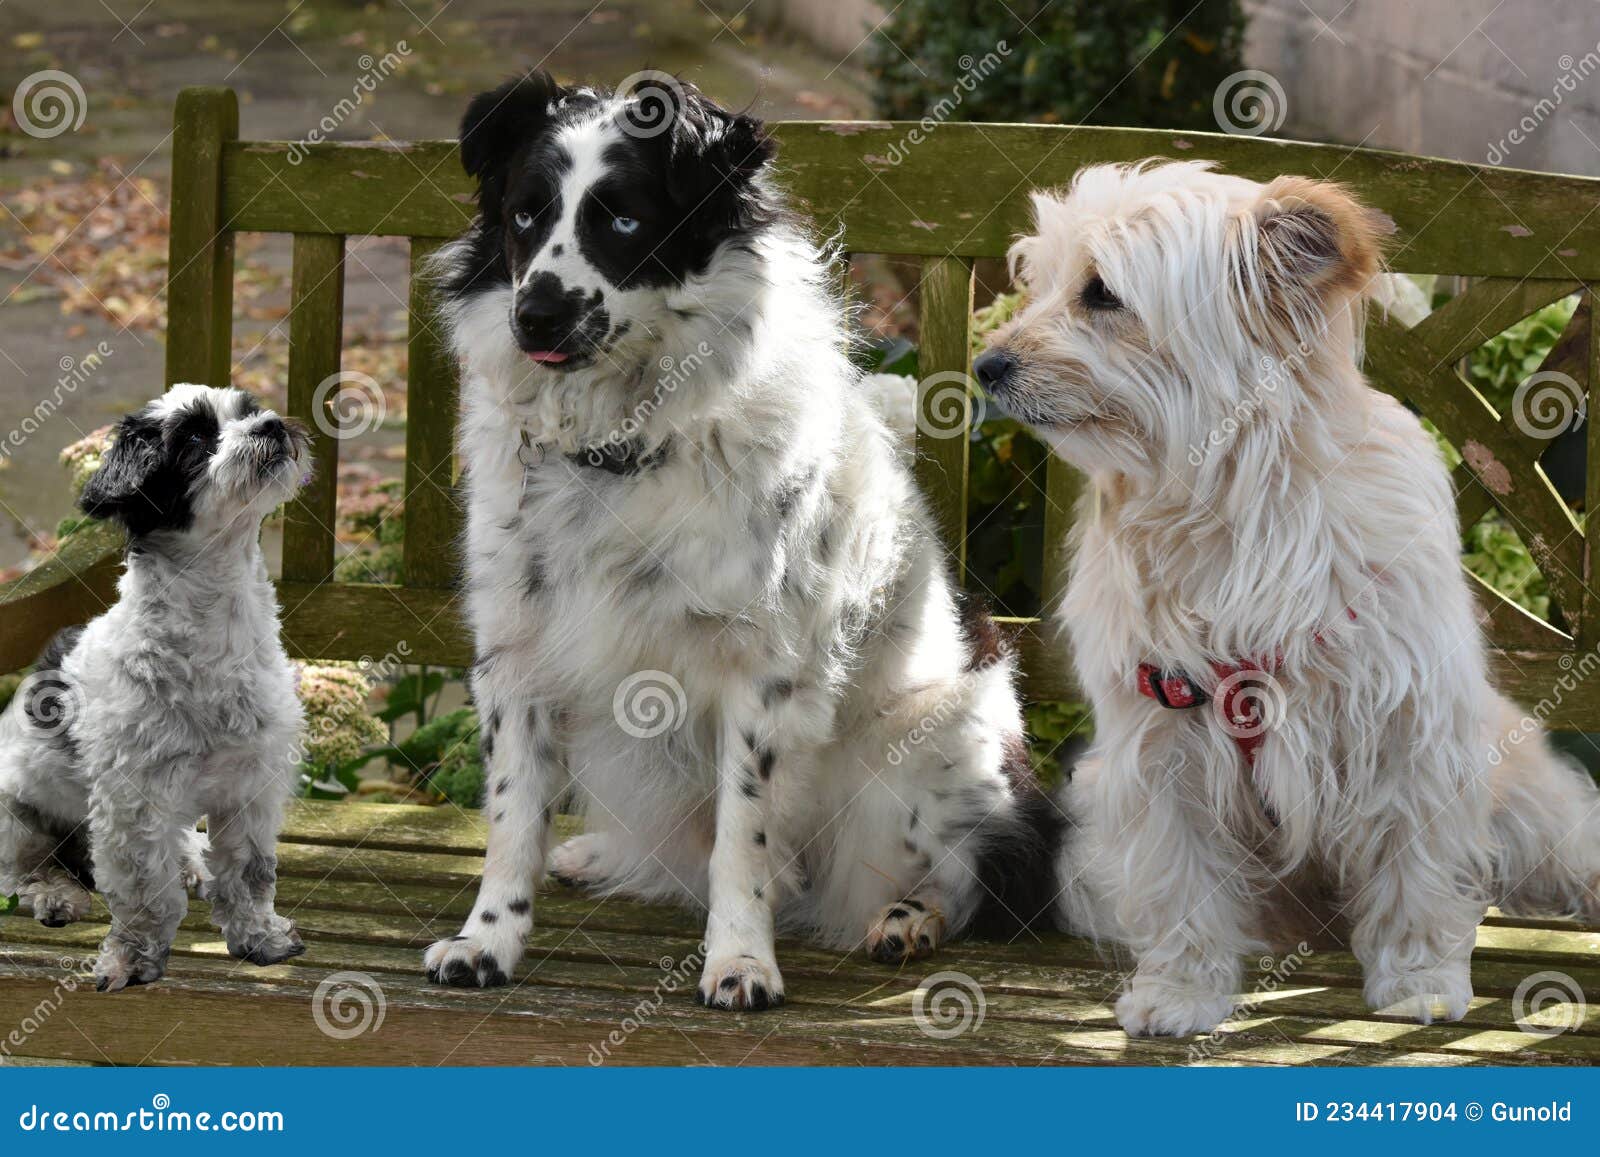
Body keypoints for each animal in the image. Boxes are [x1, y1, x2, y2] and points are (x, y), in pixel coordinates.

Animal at [0, 384, 313, 992]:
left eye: (248, 410)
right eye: (193, 438)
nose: (270, 426)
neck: (220, 633)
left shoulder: (251, 786)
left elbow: (250, 873)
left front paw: (258, 938)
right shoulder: (133, 800)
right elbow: (147, 892)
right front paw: (133, 958)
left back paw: (190, 861)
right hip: (13, 814)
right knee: (26, 868)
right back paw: (54, 893)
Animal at [419, 72, 1056, 1011]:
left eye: (623, 220)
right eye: (525, 214)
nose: (534, 316)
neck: (622, 443)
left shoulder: (759, 673)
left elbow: (741, 840)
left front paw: (741, 961)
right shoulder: (517, 651)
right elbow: (509, 818)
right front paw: (487, 940)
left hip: (933, 752)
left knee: (975, 872)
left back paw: (910, 918)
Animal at [972, 158, 1600, 1036]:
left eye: (1101, 293)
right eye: (1039, 281)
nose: (986, 365)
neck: (1230, 503)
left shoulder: (1407, 730)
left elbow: (1416, 869)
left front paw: (1417, 977)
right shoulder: (1161, 749)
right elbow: (1182, 879)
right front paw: (1181, 990)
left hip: (1534, 805)